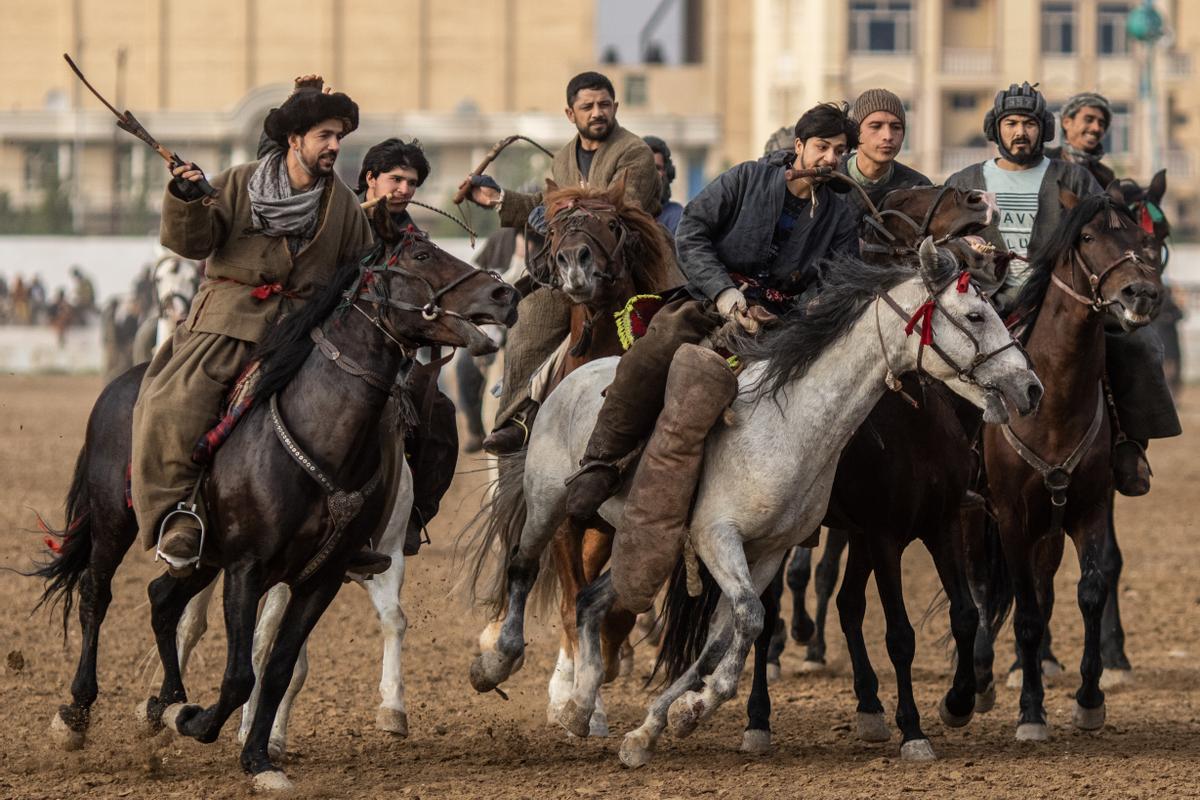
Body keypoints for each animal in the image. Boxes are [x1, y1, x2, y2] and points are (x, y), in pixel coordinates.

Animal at [34, 215, 516, 791]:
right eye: (421, 256)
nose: (504, 294)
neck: (319, 434)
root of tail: (123, 383)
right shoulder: (247, 570)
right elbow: (242, 672)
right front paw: (203, 724)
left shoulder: (321, 577)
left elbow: (282, 666)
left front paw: (257, 757)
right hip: (114, 520)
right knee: (96, 593)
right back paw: (77, 714)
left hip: (202, 557)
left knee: (161, 600)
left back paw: (166, 702)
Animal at [468, 241, 1041, 767]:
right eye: (975, 314)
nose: (1030, 386)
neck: (788, 422)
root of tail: (565, 380)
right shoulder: (720, 538)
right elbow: (749, 621)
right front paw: (692, 711)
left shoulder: (769, 551)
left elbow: (726, 637)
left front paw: (664, 722)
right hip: (550, 500)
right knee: (522, 566)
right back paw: (496, 664)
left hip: (645, 541)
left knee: (590, 601)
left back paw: (580, 708)